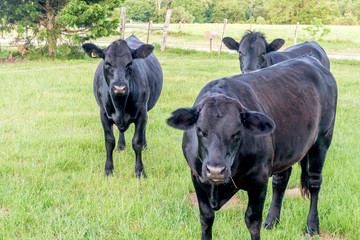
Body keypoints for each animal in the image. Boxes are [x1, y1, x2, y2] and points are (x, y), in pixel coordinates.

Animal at [82, 35, 162, 178]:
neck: (120, 105)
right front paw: (108, 170)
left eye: (130, 64)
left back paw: (145, 146)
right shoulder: (103, 114)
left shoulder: (142, 114)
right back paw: (121, 145)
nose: (119, 88)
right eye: (107, 63)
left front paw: (140, 171)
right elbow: (109, 142)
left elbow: (137, 142)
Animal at [167, 56, 336, 240]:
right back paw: (272, 221)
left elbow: (252, 220)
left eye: (237, 133)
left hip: (322, 140)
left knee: (314, 182)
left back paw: (312, 226)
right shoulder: (197, 177)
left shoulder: (259, 180)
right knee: (281, 180)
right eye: (199, 130)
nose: (216, 170)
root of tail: (310, 59)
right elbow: (206, 217)